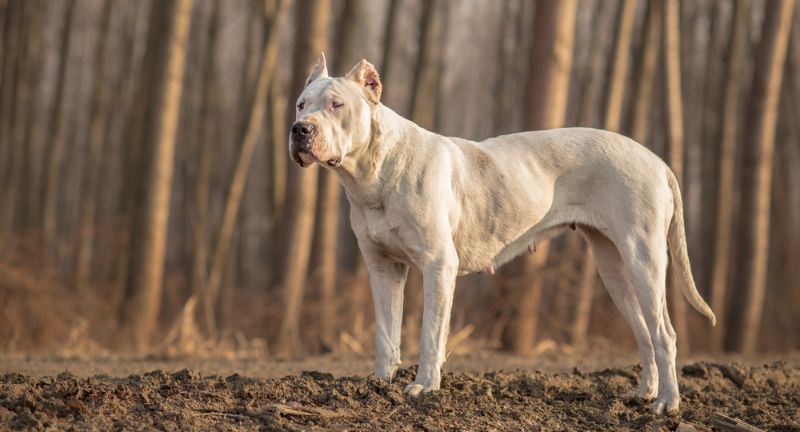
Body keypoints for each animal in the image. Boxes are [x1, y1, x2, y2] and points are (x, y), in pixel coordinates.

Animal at [290, 54, 716, 416]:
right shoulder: (383, 269)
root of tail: (657, 161)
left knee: (664, 334)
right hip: (614, 268)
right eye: (301, 104)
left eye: (336, 105)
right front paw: (379, 385)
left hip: (643, 259)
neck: (373, 173)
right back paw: (645, 393)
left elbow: (430, 334)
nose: (300, 129)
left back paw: (667, 404)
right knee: (644, 332)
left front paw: (424, 387)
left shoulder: (438, 266)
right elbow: (385, 333)